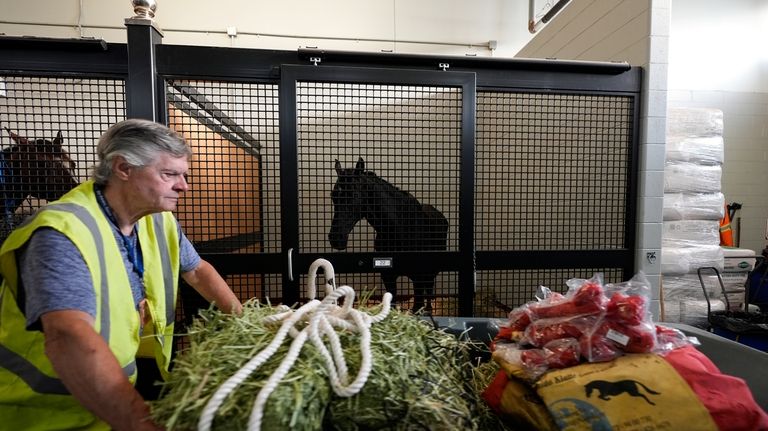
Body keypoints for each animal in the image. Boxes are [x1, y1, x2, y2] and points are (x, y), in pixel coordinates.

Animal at [328, 157, 448, 312]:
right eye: (333, 196)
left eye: (354, 195)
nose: (336, 238)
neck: (400, 228)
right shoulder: (388, 276)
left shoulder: (418, 278)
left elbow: (417, 306)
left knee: (429, 288)